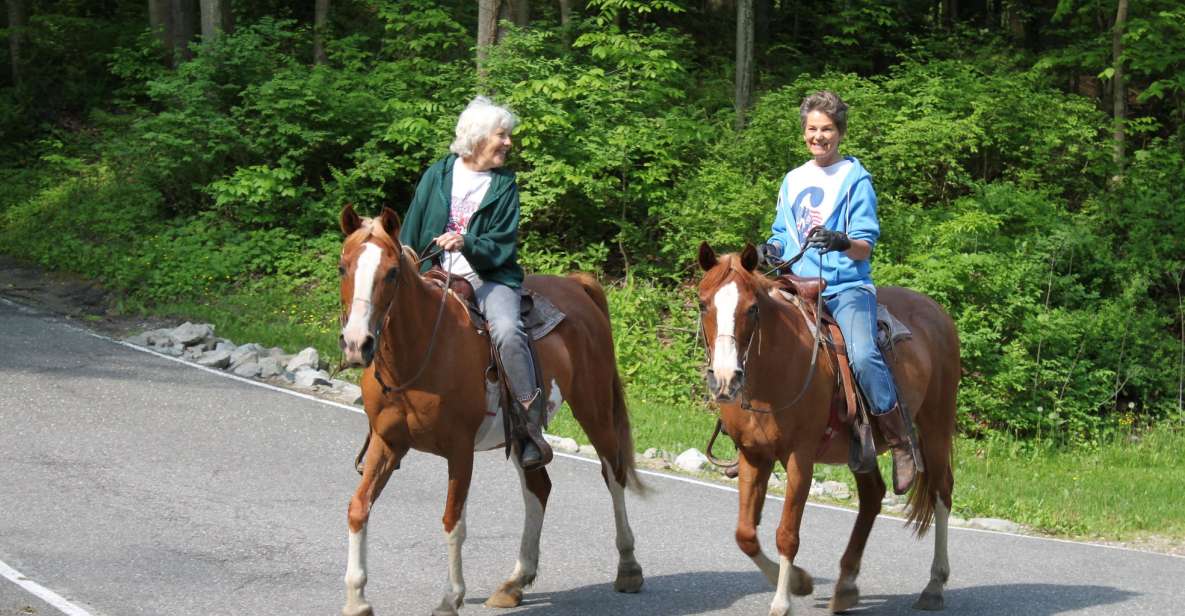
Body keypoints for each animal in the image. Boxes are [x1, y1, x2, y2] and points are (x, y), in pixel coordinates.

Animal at [338, 207, 644, 616]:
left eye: (391, 272)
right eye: (343, 267)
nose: (358, 344)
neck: (419, 352)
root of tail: (577, 285)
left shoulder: (459, 450)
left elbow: (453, 520)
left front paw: (450, 598)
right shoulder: (387, 443)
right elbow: (359, 507)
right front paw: (356, 599)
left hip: (593, 410)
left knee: (614, 476)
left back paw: (629, 568)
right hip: (523, 436)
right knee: (539, 488)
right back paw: (514, 582)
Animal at [696, 244, 957, 616]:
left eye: (752, 308)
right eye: (703, 303)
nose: (725, 378)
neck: (774, 371)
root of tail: (935, 310)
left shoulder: (799, 458)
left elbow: (787, 533)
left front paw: (782, 600)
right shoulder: (753, 454)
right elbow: (745, 534)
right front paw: (800, 582)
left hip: (936, 428)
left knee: (941, 492)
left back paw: (934, 585)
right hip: (862, 448)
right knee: (872, 496)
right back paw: (846, 585)